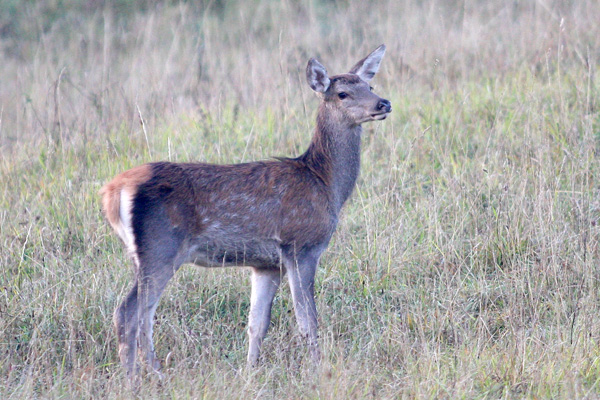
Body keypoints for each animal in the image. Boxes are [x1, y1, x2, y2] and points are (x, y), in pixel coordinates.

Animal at [101, 43, 392, 378]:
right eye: (343, 93)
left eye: (369, 86)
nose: (383, 103)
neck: (324, 182)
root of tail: (112, 191)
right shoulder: (301, 245)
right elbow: (308, 320)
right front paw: (318, 371)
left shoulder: (266, 264)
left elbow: (257, 323)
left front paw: (250, 371)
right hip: (160, 246)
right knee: (127, 313)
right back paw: (133, 380)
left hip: (148, 254)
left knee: (145, 315)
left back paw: (157, 374)